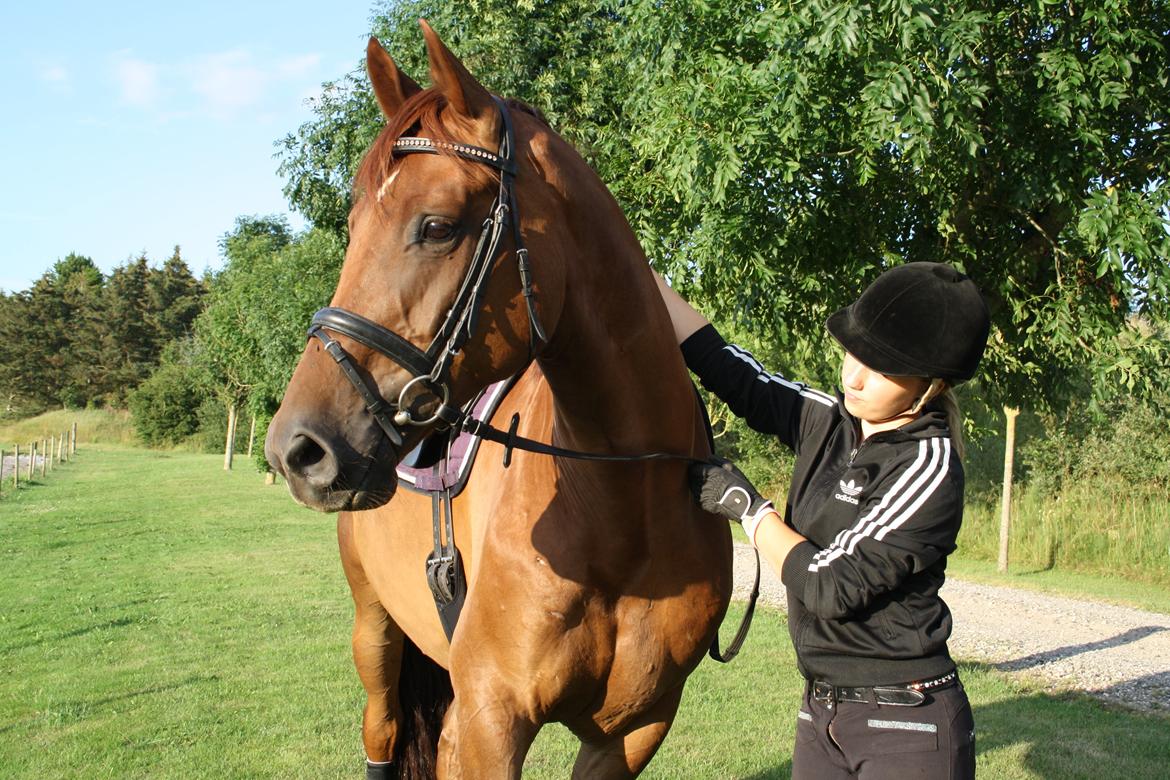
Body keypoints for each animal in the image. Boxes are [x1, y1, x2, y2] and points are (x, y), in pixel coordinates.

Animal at [265, 21, 730, 776]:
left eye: (436, 226)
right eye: (354, 225)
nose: (296, 449)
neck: (621, 510)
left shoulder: (634, 729)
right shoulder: (490, 719)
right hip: (376, 636)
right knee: (383, 732)